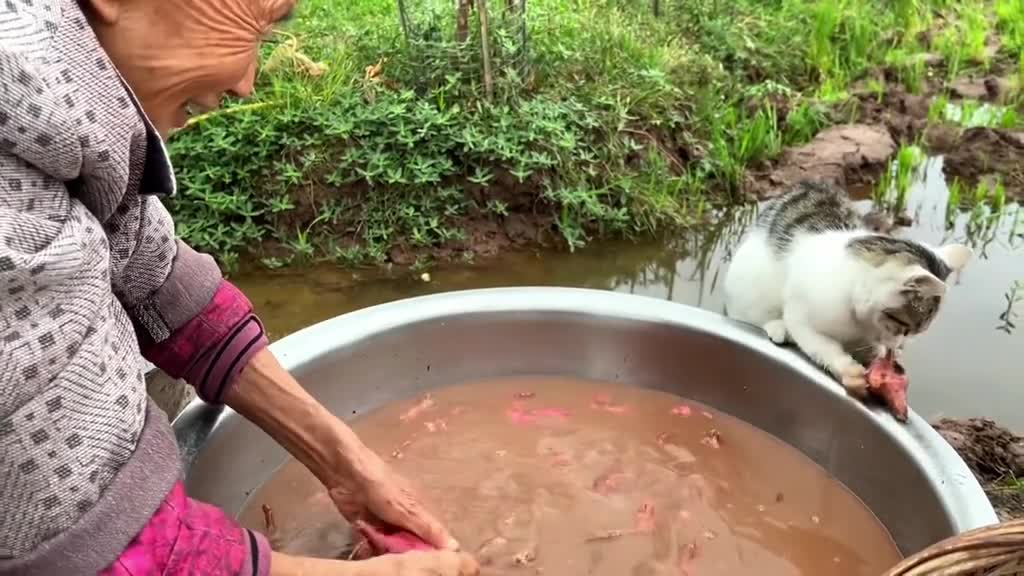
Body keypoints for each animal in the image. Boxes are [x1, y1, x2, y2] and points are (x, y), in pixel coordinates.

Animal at [724, 179, 970, 393]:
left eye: (913, 333)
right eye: (901, 323)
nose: (897, 345)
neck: (857, 322)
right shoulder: (802, 317)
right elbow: (821, 345)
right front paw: (848, 371)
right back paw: (777, 326)